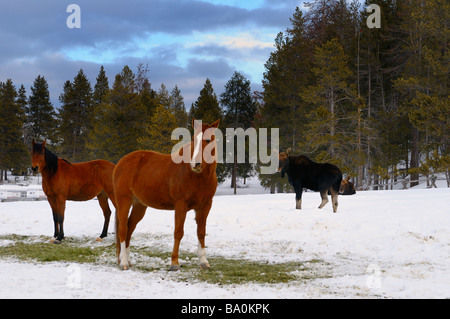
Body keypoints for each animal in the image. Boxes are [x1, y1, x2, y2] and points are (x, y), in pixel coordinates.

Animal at [114, 121, 220, 272]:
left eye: (208, 140)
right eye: (194, 139)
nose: (196, 164)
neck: (197, 176)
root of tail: (121, 162)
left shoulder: (205, 206)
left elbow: (201, 232)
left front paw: (203, 261)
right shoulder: (181, 205)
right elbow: (178, 232)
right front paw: (174, 263)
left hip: (139, 206)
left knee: (129, 228)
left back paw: (127, 261)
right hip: (124, 201)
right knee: (123, 230)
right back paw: (123, 262)